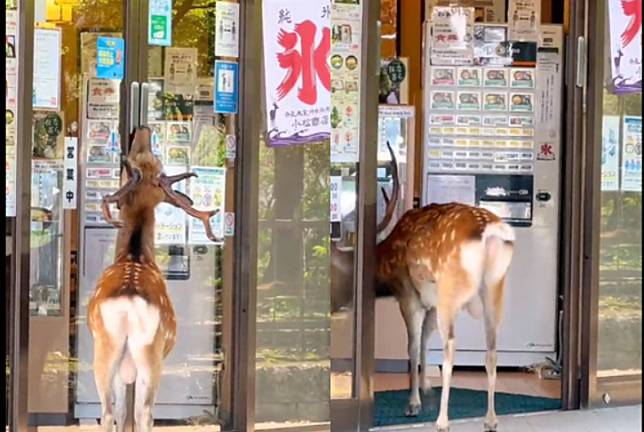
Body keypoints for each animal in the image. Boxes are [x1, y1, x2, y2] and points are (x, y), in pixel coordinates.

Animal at [87, 126, 220, 430]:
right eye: (158, 164)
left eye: (149, 159)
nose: (143, 129)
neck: (135, 255)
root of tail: (127, 304)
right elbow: (131, 414)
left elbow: (122, 414)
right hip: (150, 353)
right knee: (145, 412)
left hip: (108, 348)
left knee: (109, 411)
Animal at [332, 143, 512, 432]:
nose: (334, 305)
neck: (386, 266)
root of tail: (490, 233)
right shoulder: (431, 302)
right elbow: (426, 340)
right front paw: (427, 388)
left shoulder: (409, 294)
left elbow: (413, 346)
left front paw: (414, 402)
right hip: (495, 287)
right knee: (492, 347)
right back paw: (491, 419)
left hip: (452, 287)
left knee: (451, 346)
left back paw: (442, 421)